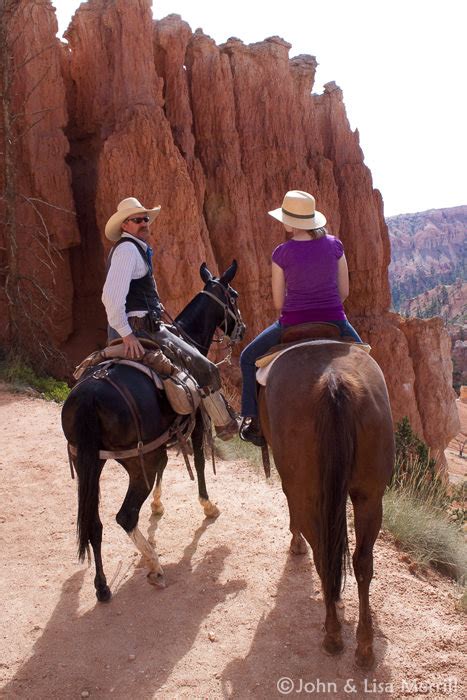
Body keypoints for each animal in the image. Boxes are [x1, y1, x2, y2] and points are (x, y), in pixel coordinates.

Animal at [260, 342, 394, 668]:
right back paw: (364, 646)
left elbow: (288, 500)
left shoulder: (296, 485)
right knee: (362, 561)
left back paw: (333, 635)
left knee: (323, 555)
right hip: (370, 495)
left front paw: (295, 543)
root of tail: (332, 380)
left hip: (309, 491)